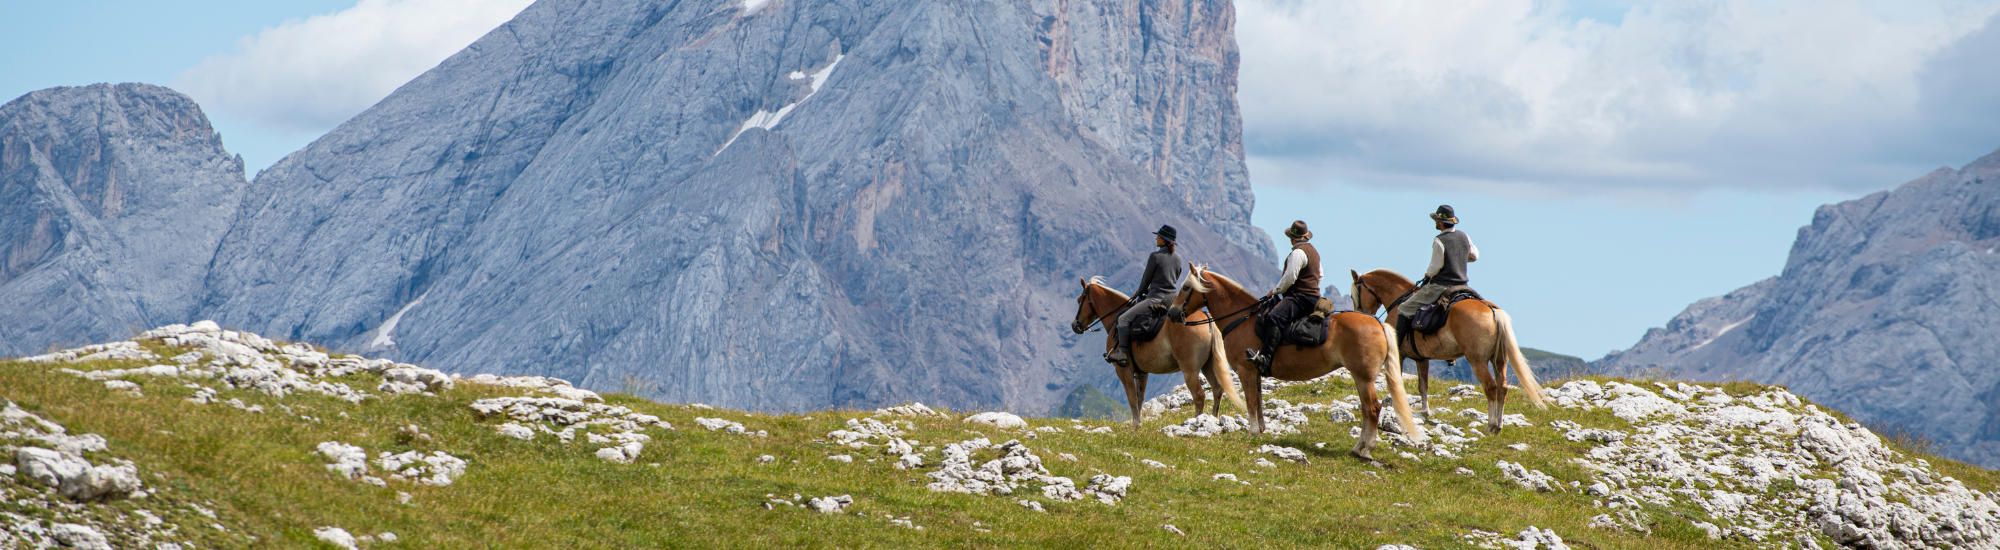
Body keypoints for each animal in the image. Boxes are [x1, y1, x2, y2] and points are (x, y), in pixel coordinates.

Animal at [1072, 278, 1240, 430]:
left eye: (1079, 300)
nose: (1075, 325)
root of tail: (1207, 317)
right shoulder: (1142, 373)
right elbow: (1139, 399)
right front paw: (1138, 424)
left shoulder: (1124, 371)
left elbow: (1132, 398)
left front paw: (1134, 425)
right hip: (1208, 365)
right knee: (1217, 390)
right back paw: (1212, 419)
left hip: (1190, 370)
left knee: (1199, 396)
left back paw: (1195, 422)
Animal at [1160, 266, 1424, 464]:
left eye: (1186, 288)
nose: (1172, 313)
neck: (1243, 320)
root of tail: (1377, 324)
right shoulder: (1255, 372)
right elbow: (1259, 402)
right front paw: (1261, 429)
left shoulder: (1246, 371)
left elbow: (1251, 402)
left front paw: (1252, 432)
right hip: (1361, 378)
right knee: (1368, 410)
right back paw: (1359, 448)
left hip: (1363, 377)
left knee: (1372, 409)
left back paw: (1365, 450)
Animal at [1352, 268, 1552, 436]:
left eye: (1355, 295)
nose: (1361, 315)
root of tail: (1493, 311)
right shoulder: (1421, 359)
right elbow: (1423, 386)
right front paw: (1425, 412)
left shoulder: (1399, 357)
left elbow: (1397, 382)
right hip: (1499, 360)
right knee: (1502, 388)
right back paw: (1499, 426)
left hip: (1477, 361)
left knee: (1491, 387)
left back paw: (1490, 425)